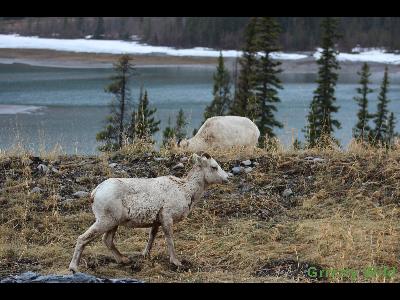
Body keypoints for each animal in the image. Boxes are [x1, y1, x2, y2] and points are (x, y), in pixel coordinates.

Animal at [69, 152, 228, 272]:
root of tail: (95, 192)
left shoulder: (157, 221)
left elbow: (151, 237)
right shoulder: (167, 218)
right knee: (83, 238)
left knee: (107, 240)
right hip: (105, 221)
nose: (227, 178)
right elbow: (170, 240)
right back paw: (74, 268)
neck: (186, 190)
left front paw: (145, 255)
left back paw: (124, 260)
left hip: (113, 223)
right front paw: (176, 262)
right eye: (214, 167)